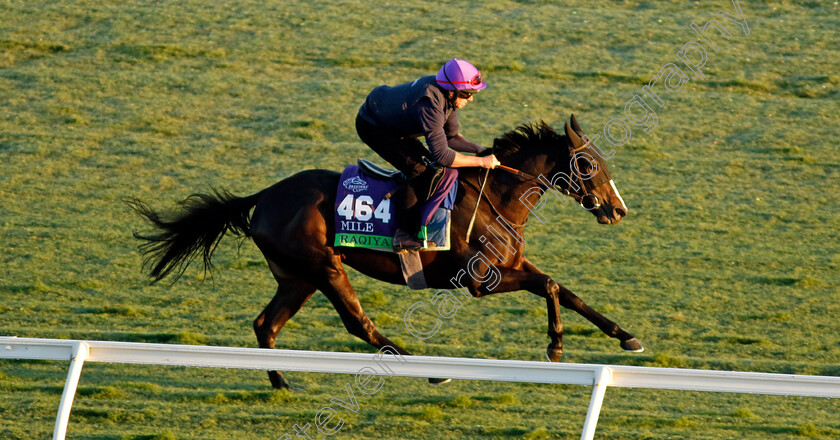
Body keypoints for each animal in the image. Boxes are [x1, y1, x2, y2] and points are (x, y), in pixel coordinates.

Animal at [130, 113, 644, 388]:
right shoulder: (480, 280)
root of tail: (265, 195)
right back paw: (429, 371)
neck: (497, 197)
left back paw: (280, 380)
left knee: (265, 324)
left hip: (297, 277)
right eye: (588, 164)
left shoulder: (513, 264)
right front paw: (555, 346)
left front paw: (625, 336)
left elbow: (569, 292)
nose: (617, 209)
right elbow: (553, 285)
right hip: (324, 268)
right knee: (358, 323)